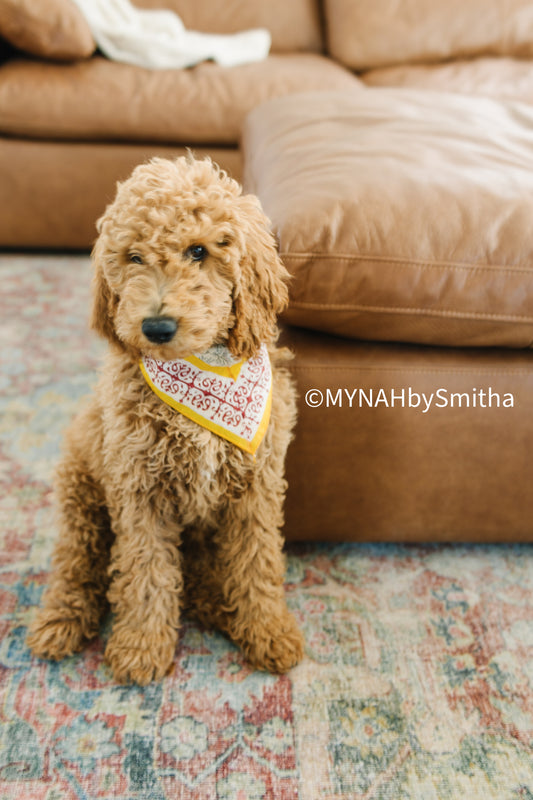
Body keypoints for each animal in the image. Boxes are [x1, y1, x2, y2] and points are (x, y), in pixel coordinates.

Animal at [28, 158, 304, 688]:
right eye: (134, 257)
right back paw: (60, 621)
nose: (156, 327)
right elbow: (145, 573)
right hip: (81, 490)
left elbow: (257, 562)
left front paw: (267, 630)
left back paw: (222, 606)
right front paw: (141, 648)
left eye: (199, 251)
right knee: (78, 565)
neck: (202, 372)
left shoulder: (256, 486)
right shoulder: (140, 492)